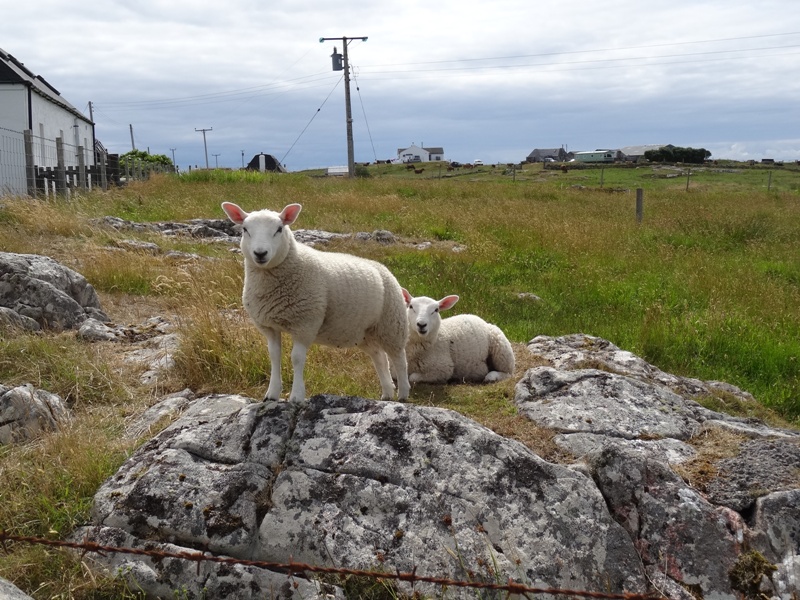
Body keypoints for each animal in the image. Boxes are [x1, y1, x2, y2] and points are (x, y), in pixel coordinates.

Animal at [222, 202, 410, 404]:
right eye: (245, 229)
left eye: (279, 229)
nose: (260, 253)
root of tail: (382, 268)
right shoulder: (269, 327)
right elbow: (274, 356)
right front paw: (271, 394)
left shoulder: (305, 323)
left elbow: (296, 358)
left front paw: (296, 396)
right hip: (364, 332)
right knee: (380, 358)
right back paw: (387, 393)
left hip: (392, 324)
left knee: (399, 359)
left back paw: (403, 394)